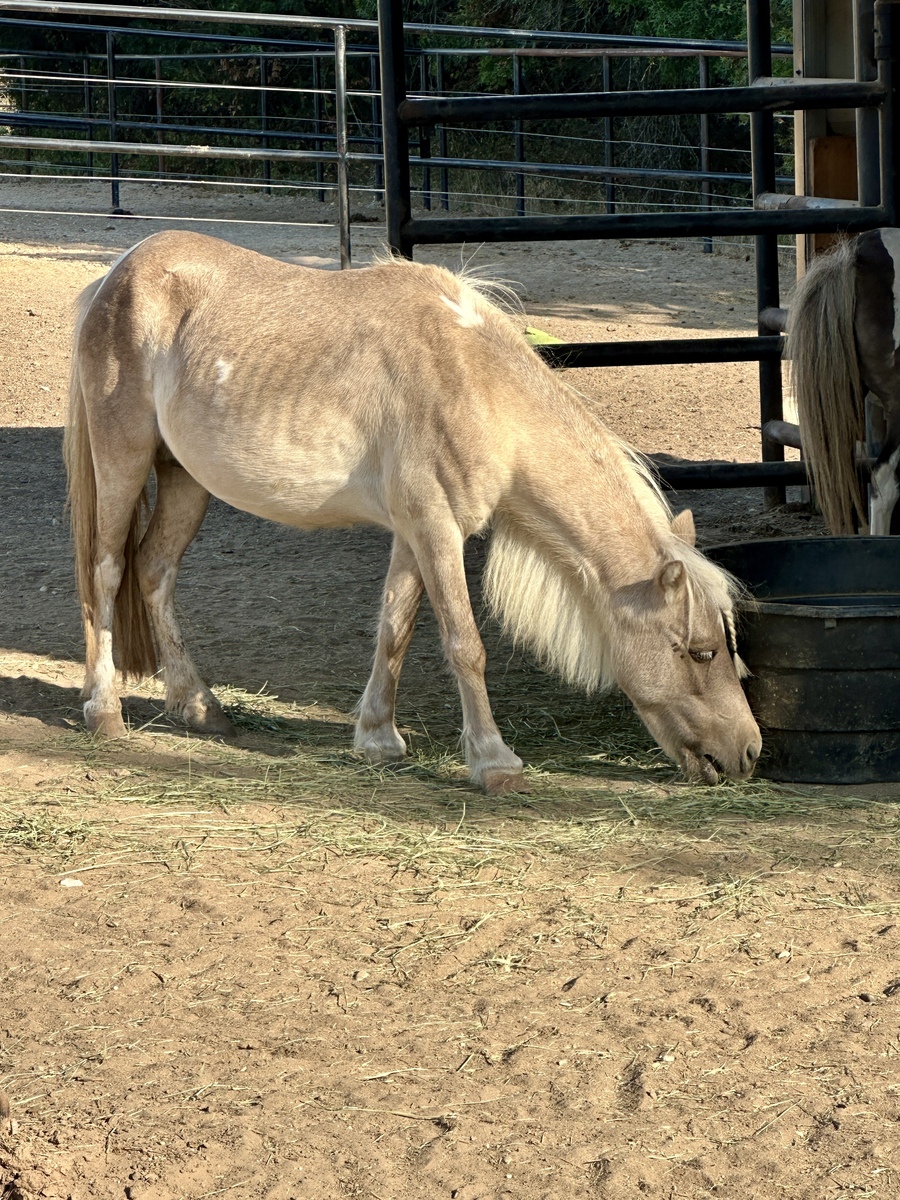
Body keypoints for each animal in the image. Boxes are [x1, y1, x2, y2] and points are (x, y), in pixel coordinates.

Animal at [64, 230, 761, 793]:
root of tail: (115, 277)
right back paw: (105, 711)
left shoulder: (413, 534)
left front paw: (378, 739)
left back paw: (199, 705)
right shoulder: (437, 529)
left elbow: (394, 628)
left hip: (185, 480)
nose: (748, 753)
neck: (475, 382)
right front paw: (494, 762)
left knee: (155, 572)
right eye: (700, 652)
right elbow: (464, 643)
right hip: (124, 459)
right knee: (106, 575)